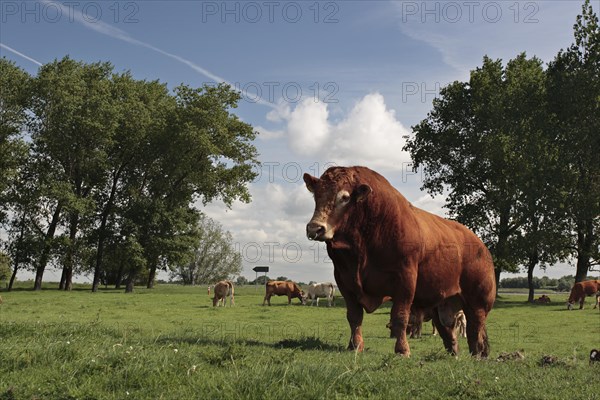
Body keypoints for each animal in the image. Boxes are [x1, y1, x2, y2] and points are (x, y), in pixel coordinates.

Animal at [304, 166, 496, 356]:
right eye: (316, 195)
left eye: (344, 197)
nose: (314, 228)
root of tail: (481, 245)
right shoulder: (344, 280)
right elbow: (354, 316)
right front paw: (355, 346)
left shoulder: (405, 279)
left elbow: (400, 317)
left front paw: (402, 350)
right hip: (440, 305)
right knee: (449, 332)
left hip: (478, 302)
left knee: (476, 330)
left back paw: (477, 356)